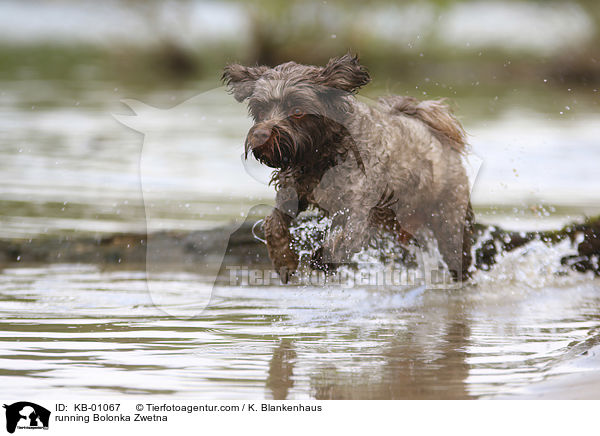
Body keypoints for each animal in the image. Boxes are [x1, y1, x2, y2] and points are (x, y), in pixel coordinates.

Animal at [223, 53, 472, 282]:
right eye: (260, 109)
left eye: (297, 111)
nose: (261, 135)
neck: (320, 157)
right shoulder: (291, 194)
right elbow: (273, 223)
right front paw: (283, 259)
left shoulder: (359, 207)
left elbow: (349, 236)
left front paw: (325, 258)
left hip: (449, 223)